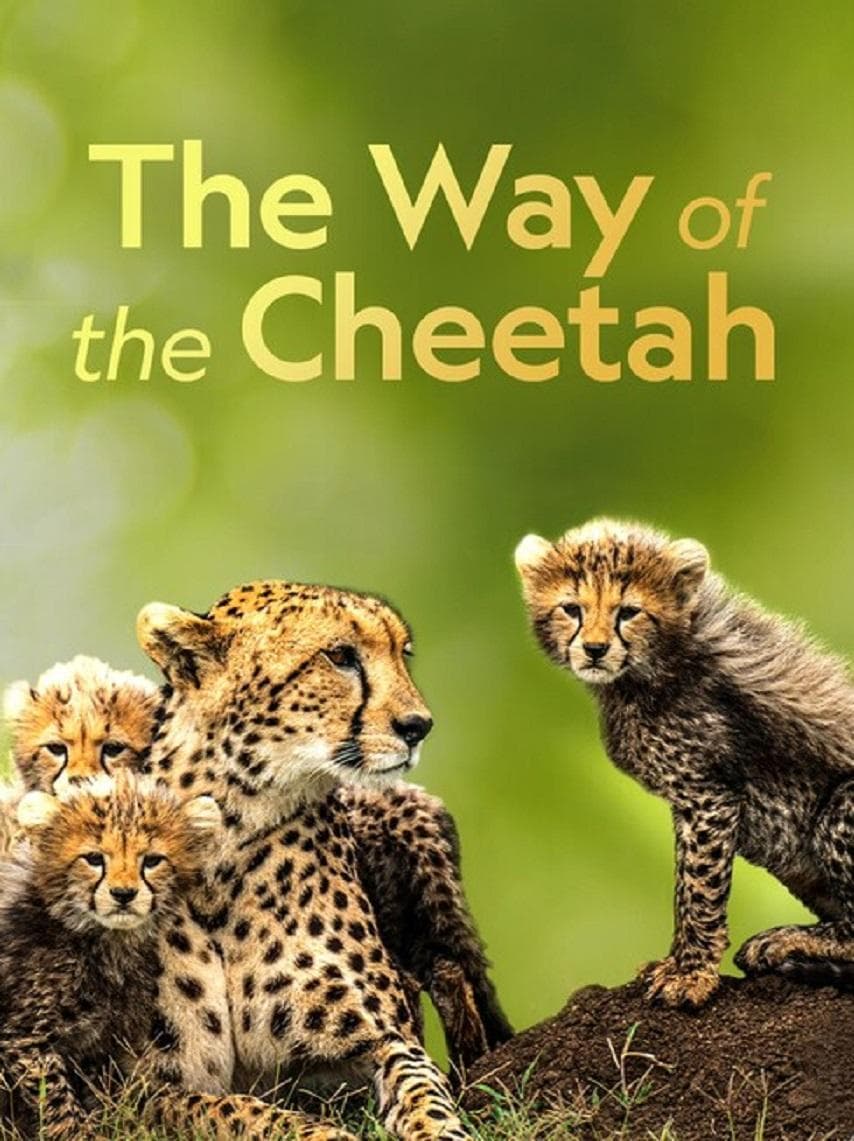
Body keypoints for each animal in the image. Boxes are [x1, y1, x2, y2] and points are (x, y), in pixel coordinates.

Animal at [134, 580, 497, 1139]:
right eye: (341, 656)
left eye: (402, 654)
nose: (419, 726)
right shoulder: (138, 1088)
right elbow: (237, 1111)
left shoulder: (381, 1038)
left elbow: (421, 1088)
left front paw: (439, 1127)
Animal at [516, 517, 854, 1008]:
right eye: (571, 609)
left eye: (628, 612)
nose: (595, 649)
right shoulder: (689, 802)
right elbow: (682, 882)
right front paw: (676, 964)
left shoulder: (709, 797)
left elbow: (698, 888)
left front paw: (690, 975)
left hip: (839, 806)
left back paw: (788, 940)